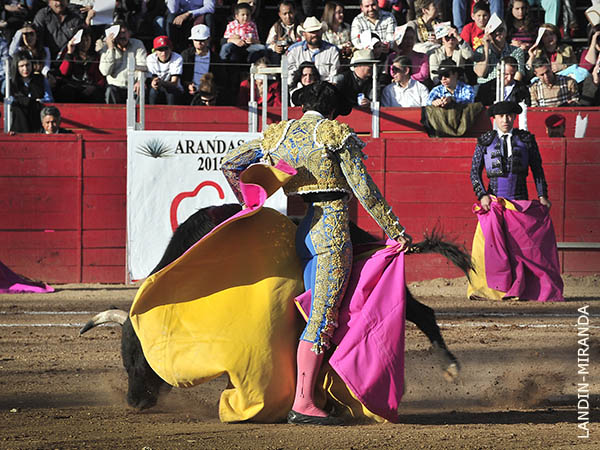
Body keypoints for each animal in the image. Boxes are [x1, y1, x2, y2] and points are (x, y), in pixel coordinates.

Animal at [81, 204, 474, 412]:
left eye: (143, 357)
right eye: (124, 358)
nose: (135, 401)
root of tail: (366, 235)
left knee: (421, 313)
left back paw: (451, 368)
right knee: (417, 313)